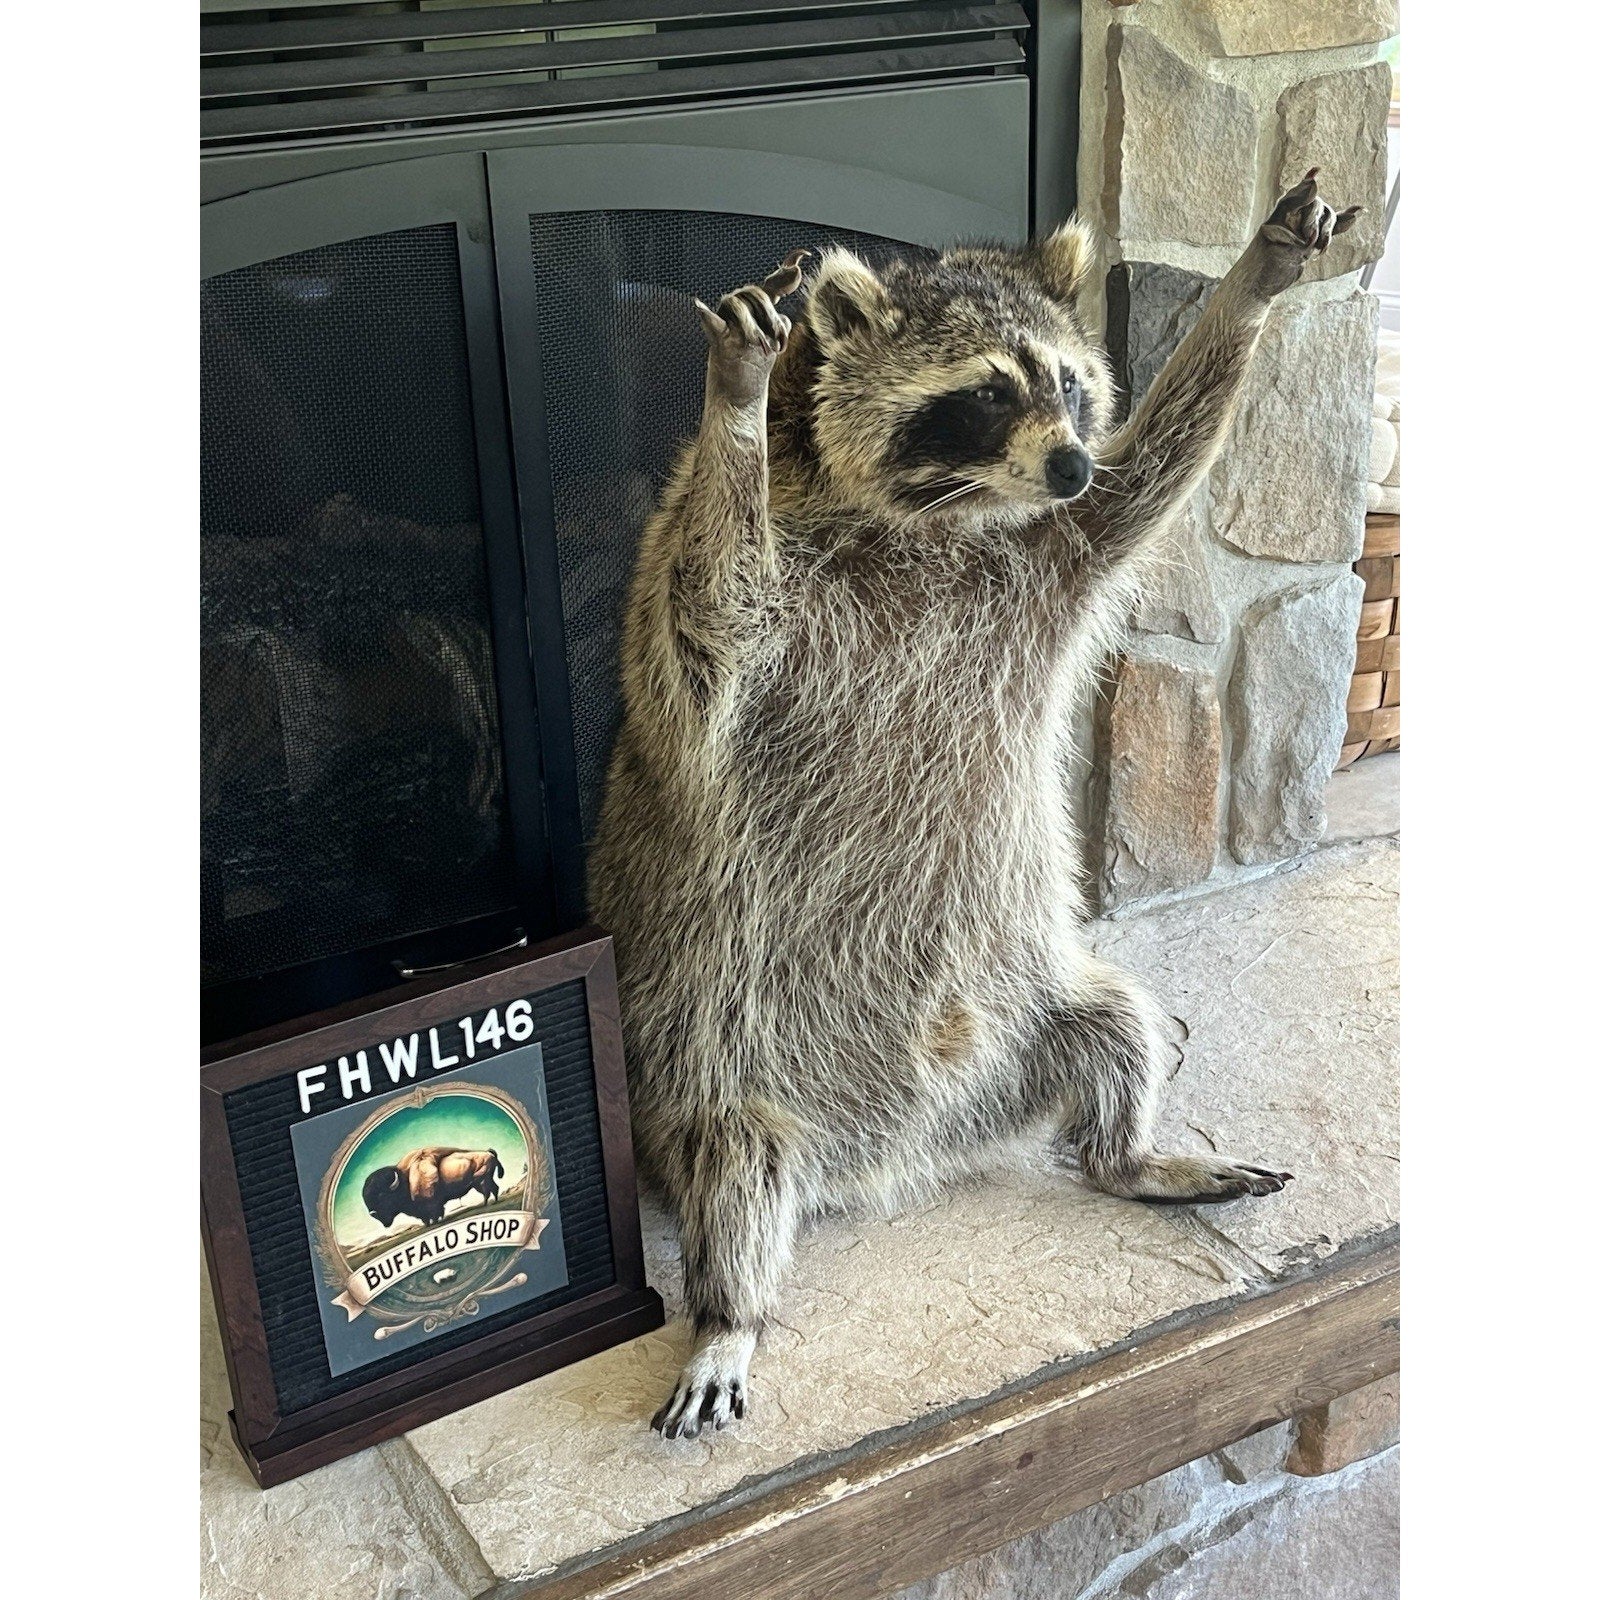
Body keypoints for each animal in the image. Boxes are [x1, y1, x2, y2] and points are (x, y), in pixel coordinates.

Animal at [588, 173, 1359, 1439]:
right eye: (985, 394)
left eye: (1067, 384)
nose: (1069, 465)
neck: (943, 519)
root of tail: (898, 1152)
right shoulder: (723, 620)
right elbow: (708, 604)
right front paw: (736, 402)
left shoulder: (1056, 556)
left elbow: (1153, 475)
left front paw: (1258, 275)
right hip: (718, 1071)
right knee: (734, 1171)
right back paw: (727, 1312)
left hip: (1041, 1001)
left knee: (1121, 1024)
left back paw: (1128, 1148)